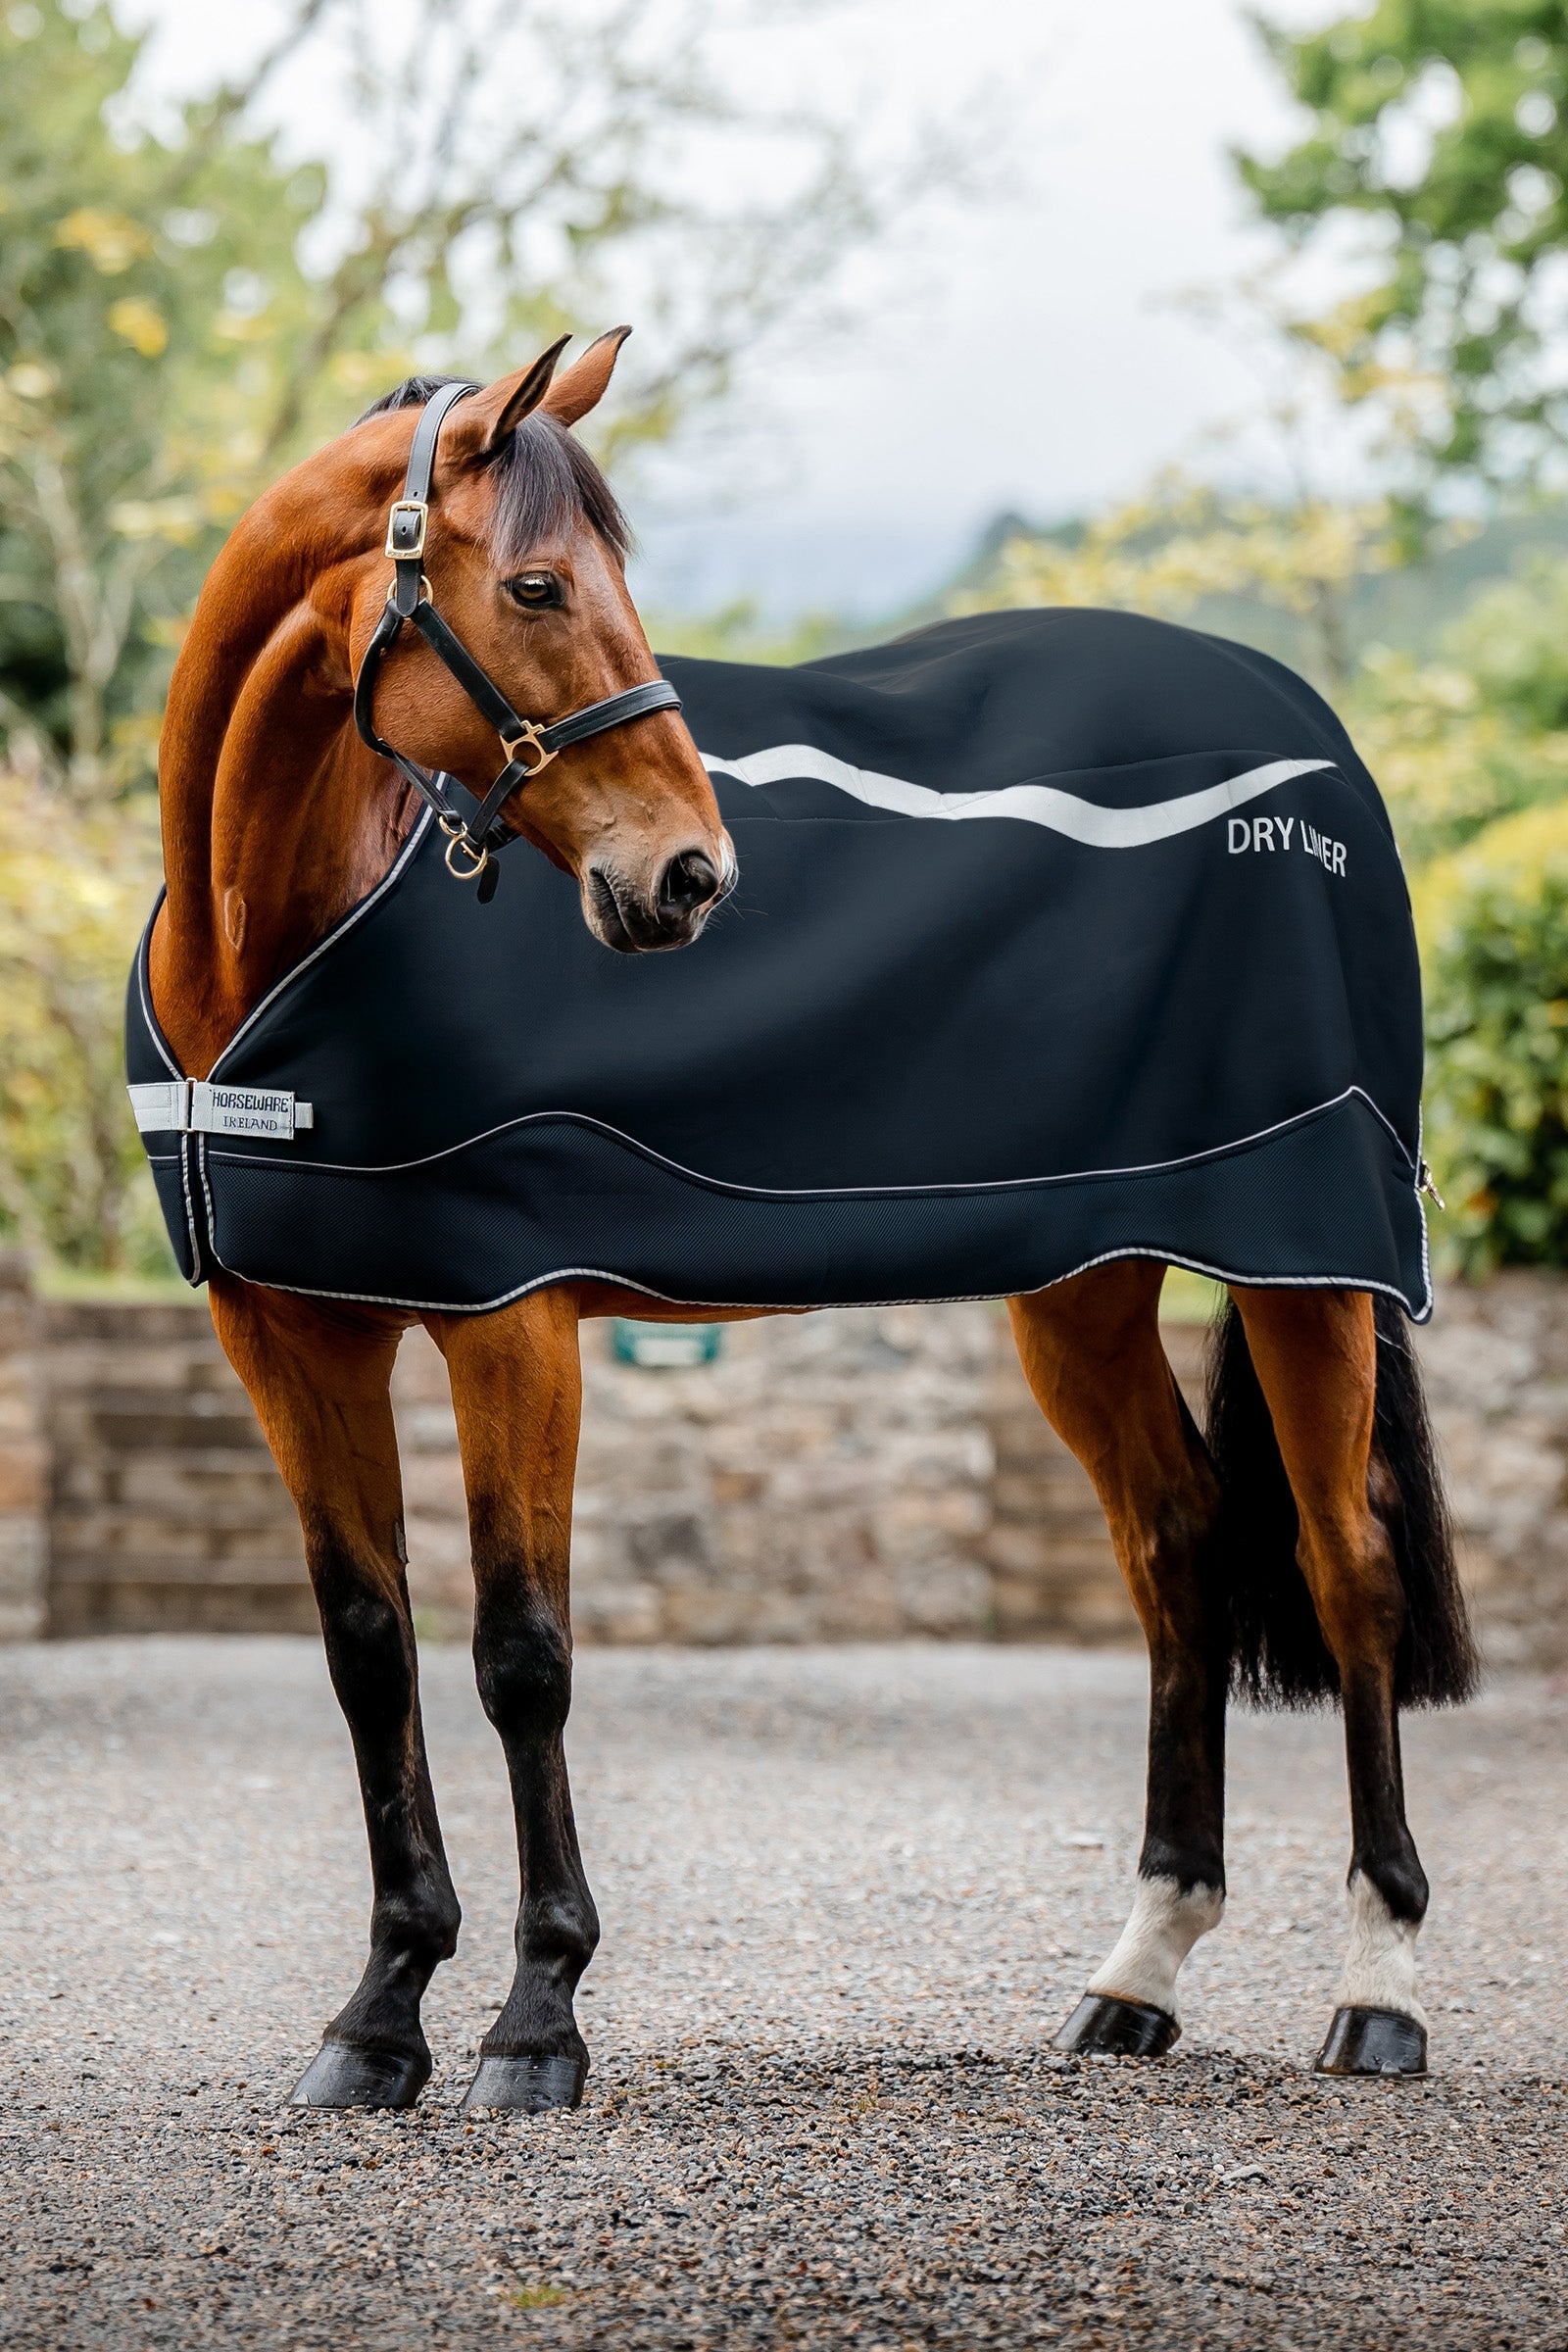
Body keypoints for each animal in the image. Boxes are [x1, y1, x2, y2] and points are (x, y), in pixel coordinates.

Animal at [143, 329, 1475, 2114]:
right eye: (540, 584)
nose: (690, 877)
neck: (275, 936)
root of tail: (1302, 731)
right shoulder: (291, 1334)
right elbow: (372, 1654)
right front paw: (377, 2017)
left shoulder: (512, 1320)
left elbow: (520, 1654)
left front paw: (537, 2021)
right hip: (1086, 1285)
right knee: (1179, 1547)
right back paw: (1137, 1975)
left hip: (1302, 1259)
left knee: (1351, 1572)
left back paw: (1379, 1989)